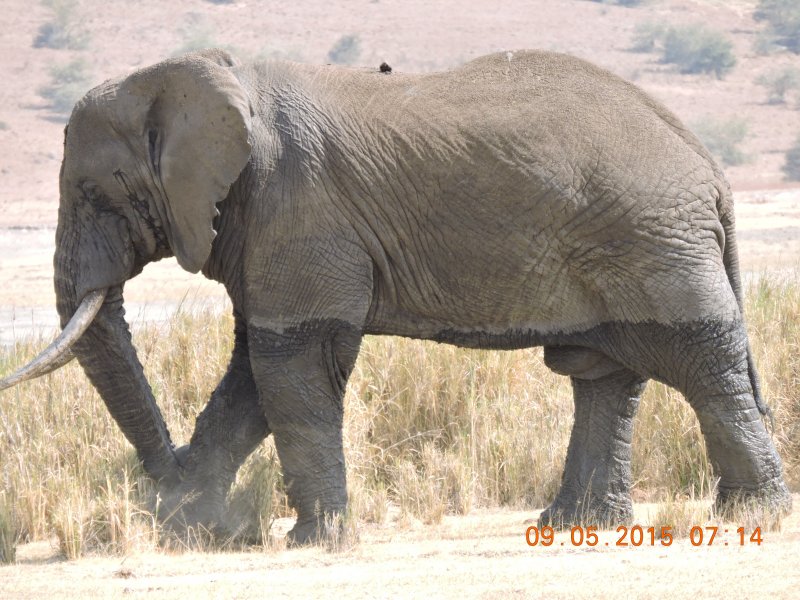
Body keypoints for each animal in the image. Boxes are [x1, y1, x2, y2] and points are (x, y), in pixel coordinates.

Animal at [0, 48, 792, 544]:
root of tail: (709, 164)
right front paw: (192, 526)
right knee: (604, 372)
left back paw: (752, 515)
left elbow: (291, 363)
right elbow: (256, 372)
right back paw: (574, 526)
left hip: (652, 240)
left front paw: (309, 542)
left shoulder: (299, 210)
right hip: (628, 238)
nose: (165, 479)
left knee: (697, 363)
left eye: (93, 193)